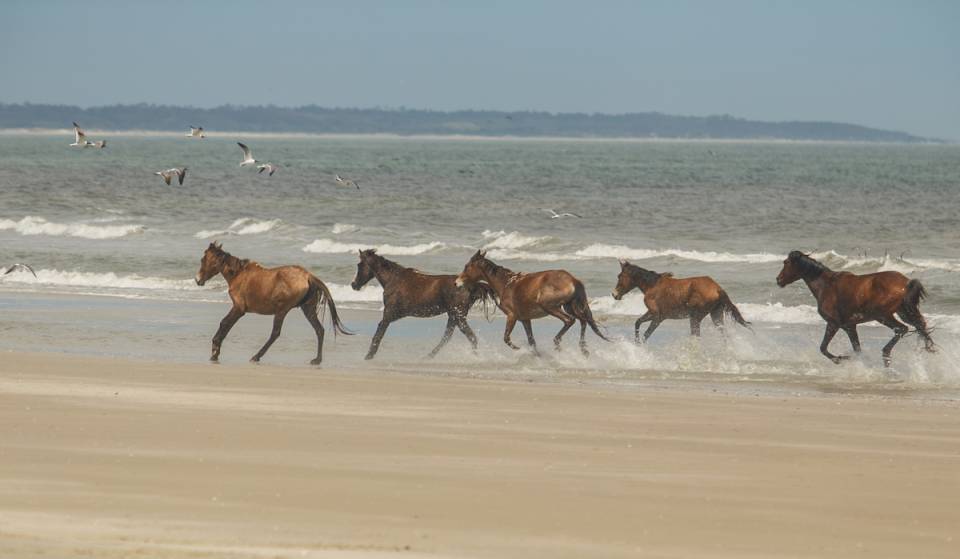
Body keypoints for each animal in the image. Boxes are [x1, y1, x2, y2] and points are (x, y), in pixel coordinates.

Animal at [194, 242, 351, 364]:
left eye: (203, 259)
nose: (197, 280)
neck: (238, 274)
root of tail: (308, 276)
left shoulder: (238, 308)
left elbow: (224, 323)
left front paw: (215, 351)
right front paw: (215, 351)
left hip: (282, 310)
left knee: (275, 333)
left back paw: (256, 356)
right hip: (307, 309)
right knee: (319, 330)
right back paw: (317, 360)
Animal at [351, 249, 495, 360]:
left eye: (359, 265)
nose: (354, 285)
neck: (393, 279)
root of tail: (472, 285)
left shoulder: (388, 314)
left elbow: (378, 334)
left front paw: (368, 356)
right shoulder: (393, 315)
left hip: (458, 317)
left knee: (470, 337)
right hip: (454, 316)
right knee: (448, 337)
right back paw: (428, 357)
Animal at [455, 250, 609, 356]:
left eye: (467, 266)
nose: (457, 283)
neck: (506, 284)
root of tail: (573, 279)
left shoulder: (512, 316)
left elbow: (506, 338)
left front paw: (518, 349)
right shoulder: (525, 319)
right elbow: (531, 341)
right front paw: (537, 355)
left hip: (550, 306)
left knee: (569, 320)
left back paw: (558, 343)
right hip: (571, 306)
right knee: (583, 321)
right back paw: (583, 349)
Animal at [611, 259, 750, 343]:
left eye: (619, 276)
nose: (614, 294)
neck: (652, 285)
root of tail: (718, 288)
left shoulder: (657, 316)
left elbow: (646, 334)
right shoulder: (656, 315)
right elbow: (638, 323)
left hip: (695, 318)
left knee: (697, 336)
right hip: (716, 316)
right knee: (723, 335)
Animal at [776, 250, 935, 366]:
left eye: (786, 262)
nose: (778, 280)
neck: (826, 285)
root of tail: (906, 283)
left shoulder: (834, 324)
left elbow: (823, 348)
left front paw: (841, 359)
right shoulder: (850, 326)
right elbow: (857, 349)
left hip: (883, 315)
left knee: (901, 329)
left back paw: (886, 355)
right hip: (904, 312)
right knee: (920, 327)